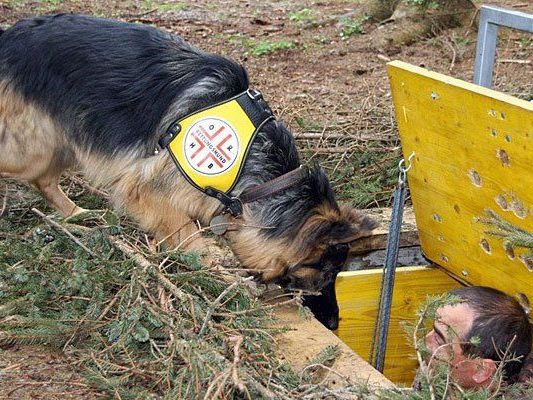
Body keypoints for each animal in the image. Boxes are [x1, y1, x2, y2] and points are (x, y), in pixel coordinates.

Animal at [0, 14, 374, 330]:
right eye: (322, 272)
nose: (334, 324)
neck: (258, 173)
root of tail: (11, 35)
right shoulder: (146, 189)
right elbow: (186, 232)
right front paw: (222, 269)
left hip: (65, 140)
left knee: (45, 180)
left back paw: (76, 213)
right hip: (34, 148)